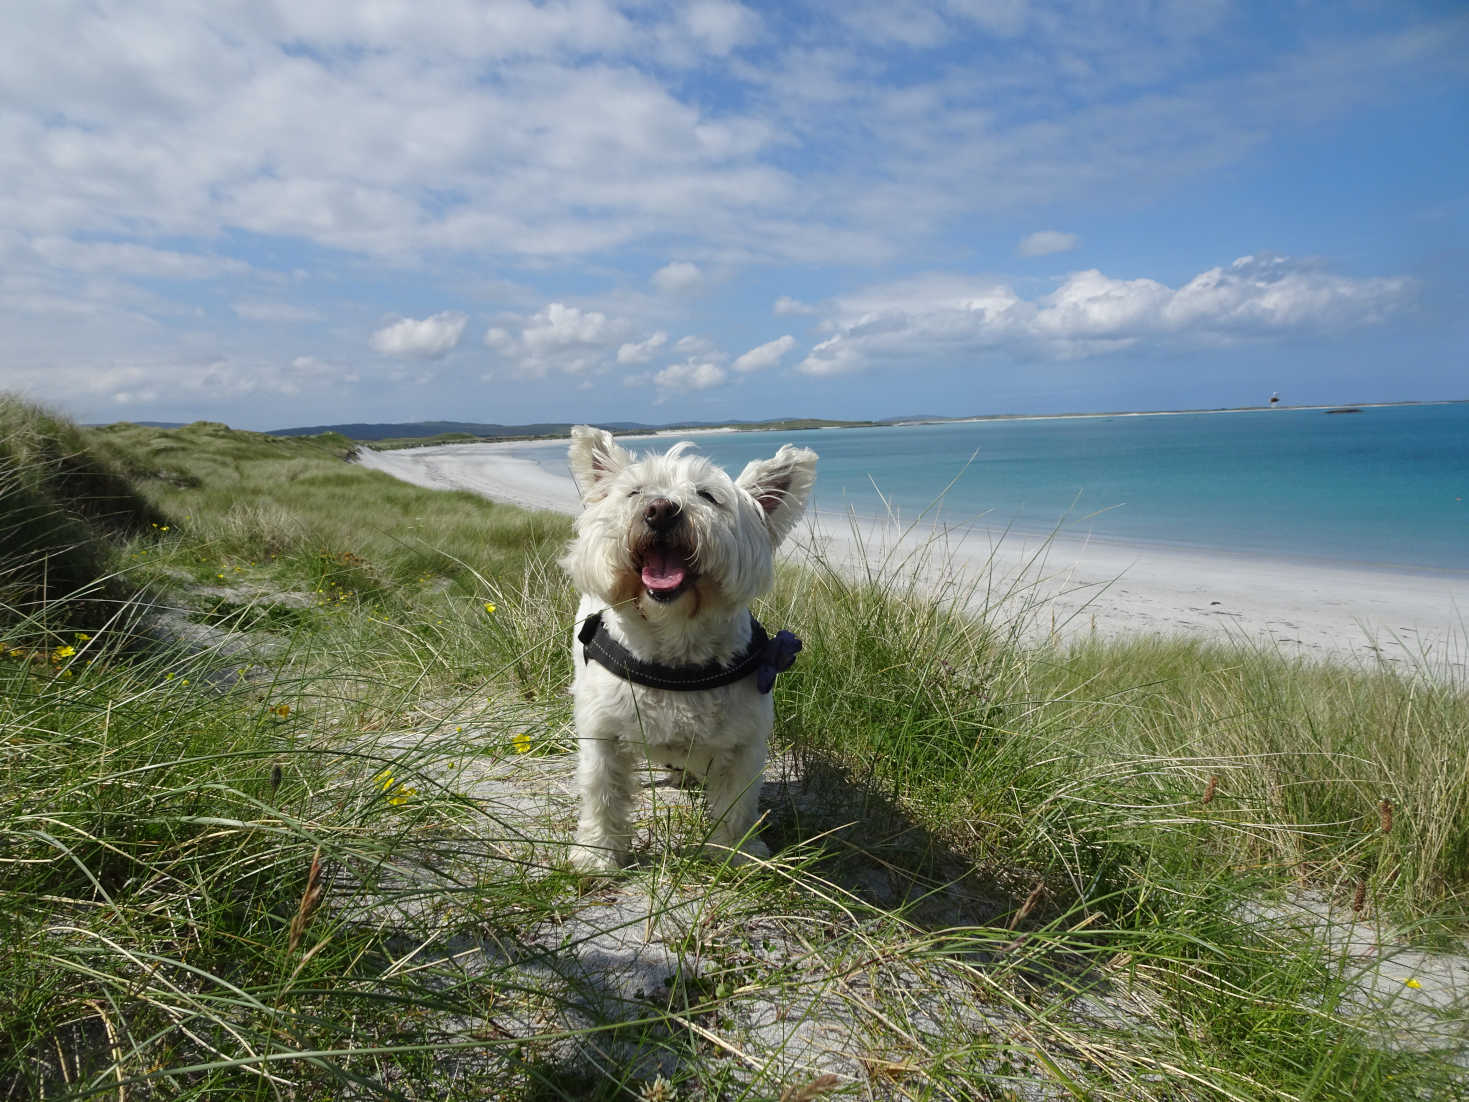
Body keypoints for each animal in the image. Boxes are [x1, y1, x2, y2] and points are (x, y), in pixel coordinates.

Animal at [558, 426, 816, 875]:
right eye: (635, 492)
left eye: (708, 495)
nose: (660, 510)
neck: (674, 649)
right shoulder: (602, 734)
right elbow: (602, 793)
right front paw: (597, 855)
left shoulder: (745, 744)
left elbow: (737, 805)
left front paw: (737, 854)